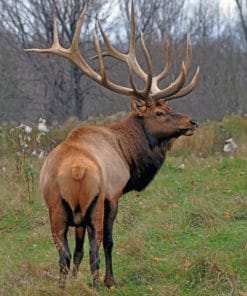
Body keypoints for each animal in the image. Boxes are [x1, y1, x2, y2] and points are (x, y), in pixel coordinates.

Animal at [24, 0, 199, 290]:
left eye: (169, 107)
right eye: (159, 112)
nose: (192, 121)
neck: (127, 152)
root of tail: (76, 171)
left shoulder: (77, 217)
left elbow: (78, 249)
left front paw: (76, 279)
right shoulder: (114, 194)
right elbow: (107, 242)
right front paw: (110, 281)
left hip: (55, 207)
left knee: (64, 252)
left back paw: (63, 286)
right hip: (95, 204)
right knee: (97, 245)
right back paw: (98, 283)